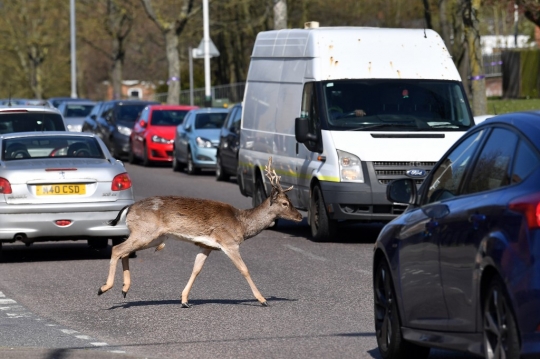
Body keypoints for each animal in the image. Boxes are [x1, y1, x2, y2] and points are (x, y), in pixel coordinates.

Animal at [97, 156, 304, 308]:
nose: (300, 216)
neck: (242, 223)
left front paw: (184, 300)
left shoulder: (206, 246)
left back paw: (125, 289)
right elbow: (244, 269)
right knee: (117, 249)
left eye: (290, 201)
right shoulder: (229, 242)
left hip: (153, 237)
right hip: (146, 232)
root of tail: (129, 208)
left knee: (124, 251)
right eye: (284, 203)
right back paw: (104, 288)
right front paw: (262, 300)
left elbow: (196, 269)